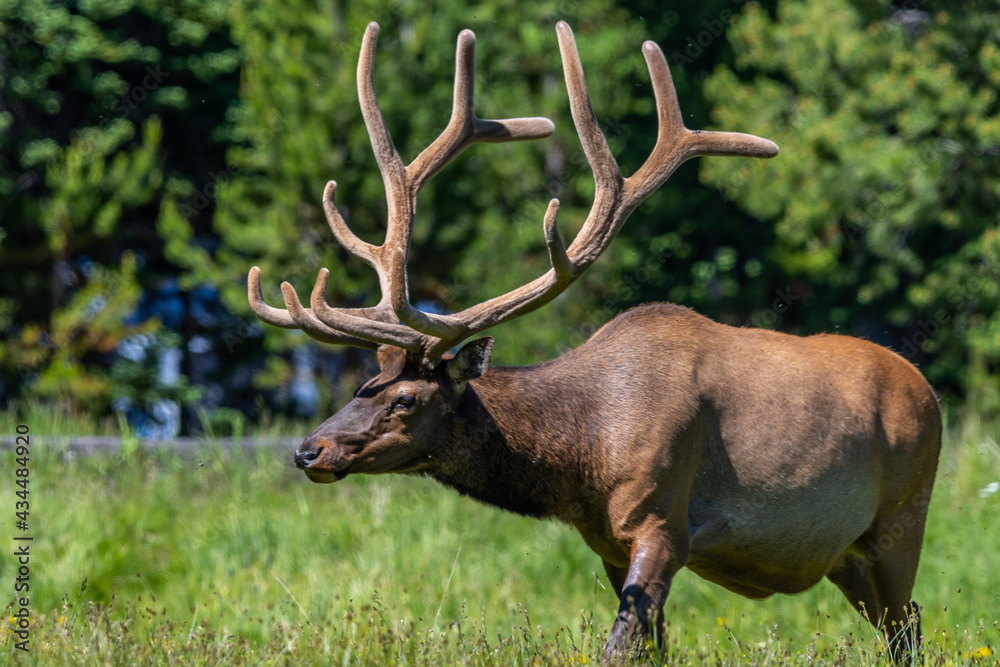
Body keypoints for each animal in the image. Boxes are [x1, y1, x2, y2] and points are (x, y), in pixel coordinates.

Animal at [248, 21, 941, 664]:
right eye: (363, 385)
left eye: (405, 400)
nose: (308, 451)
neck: (582, 457)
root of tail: (928, 391)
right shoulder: (606, 542)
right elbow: (650, 645)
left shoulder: (665, 521)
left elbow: (620, 644)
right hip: (845, 555)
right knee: (900, 626)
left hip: (902, 516)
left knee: (909, 624)